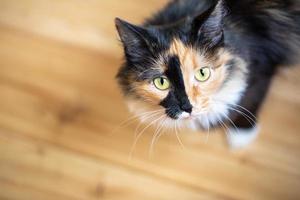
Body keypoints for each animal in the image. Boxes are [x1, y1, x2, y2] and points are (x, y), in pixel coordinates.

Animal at [113, 0, 298, 148]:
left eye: (202, 73)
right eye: (161, 82)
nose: (187, 107)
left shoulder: (262, 69)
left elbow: (251, 99)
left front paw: (241, 134)